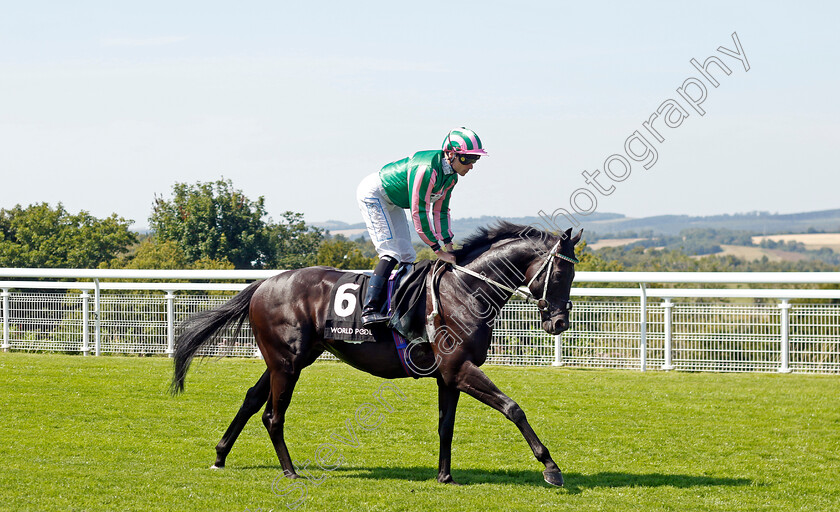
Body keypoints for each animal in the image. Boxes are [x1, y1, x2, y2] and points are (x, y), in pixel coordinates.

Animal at [169, 222, 576, 486]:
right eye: (560, 274)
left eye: (572, 276)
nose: (559, 322)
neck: (465, 290)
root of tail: (265, 283)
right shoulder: (459, 368)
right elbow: (513, 407)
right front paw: (551, 466)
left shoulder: (449, 375)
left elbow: (446, 425)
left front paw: (444, 476)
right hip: (287, 363)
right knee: (272, 415)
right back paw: (289, 471)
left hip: (288, 359)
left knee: (252, 399)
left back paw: (220, 455)